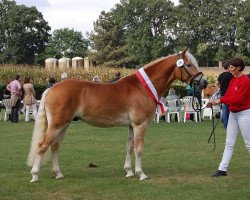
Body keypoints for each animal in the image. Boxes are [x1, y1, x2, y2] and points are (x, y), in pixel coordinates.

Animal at [26, 47, 207, 182]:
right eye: (188, 65)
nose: (204, 83)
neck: (143, 87)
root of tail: (52, 88)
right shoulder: (140, 125)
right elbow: (139, 149)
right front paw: (141, 174)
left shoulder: (132, 126)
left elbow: (129, 147)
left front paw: (129, 171)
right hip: (57, 124)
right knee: (43, 145)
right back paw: (35, 175)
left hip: (64, 124)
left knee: (55, 146)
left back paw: (58, 173)